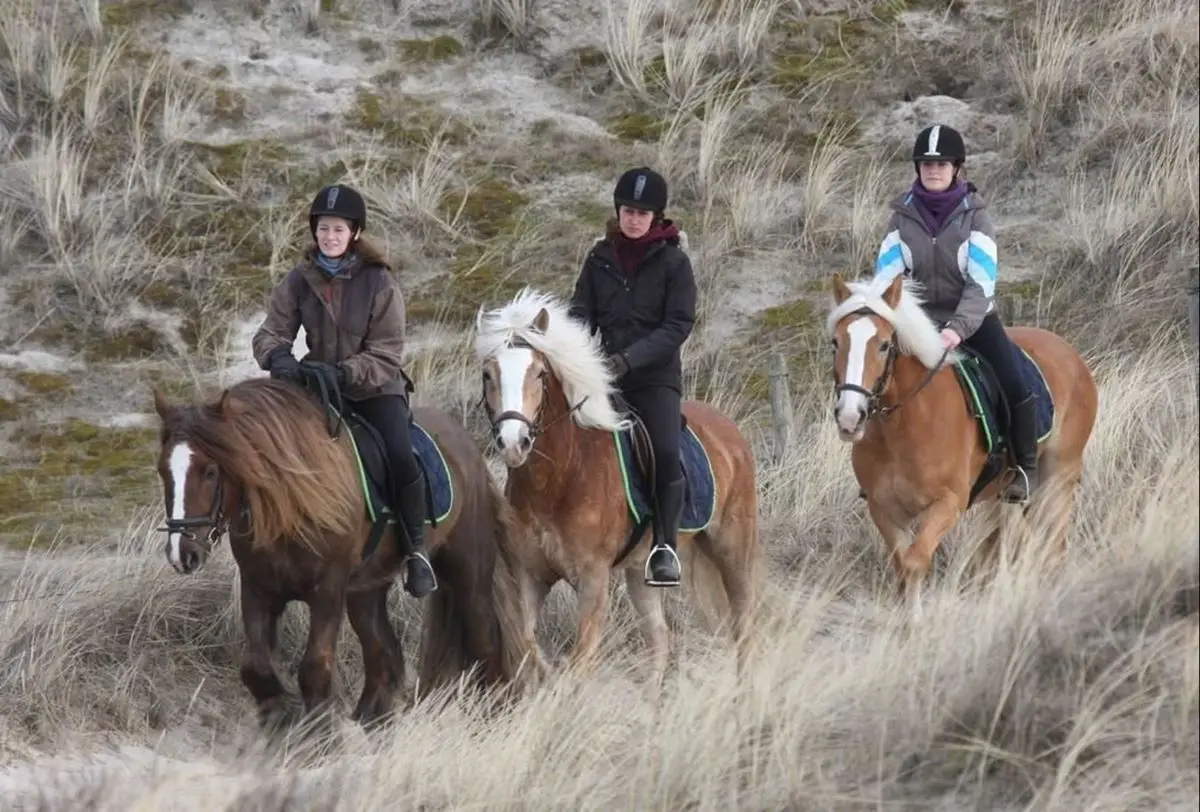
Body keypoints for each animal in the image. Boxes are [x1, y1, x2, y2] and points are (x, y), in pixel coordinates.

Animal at [150, 374, 528, 730]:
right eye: (162, 471)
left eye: (210, 471)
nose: (181, 553)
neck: (290, 505)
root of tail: (467, 446)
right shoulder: (258, 589)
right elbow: (255, 669)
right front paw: (279, 724)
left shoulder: (327, 590)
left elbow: (314, 670)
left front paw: (321, 737)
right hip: (366, 591)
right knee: (384, 656)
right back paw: (372, 723)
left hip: (468, 571)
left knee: (485, 641)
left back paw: (496, 714)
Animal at [472, 288, 762, 686]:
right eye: (488, 374)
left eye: (540, 373)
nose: (513, 443)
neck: (558, 479)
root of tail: (729, 429)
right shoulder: (530, 576)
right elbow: (530, 646)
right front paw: (548, 677)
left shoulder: (593, 580)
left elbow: (580, 661)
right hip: (641, 572)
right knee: (659, 639)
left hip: (732, 547)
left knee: (744, 622)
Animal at [826, 272, 1099, 618]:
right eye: (836, 342)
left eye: (885, 345)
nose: (850, 417)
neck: (904, 428)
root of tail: (1071, 355)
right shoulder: (883, 508)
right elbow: (902, 562)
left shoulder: (948, 504)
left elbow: (915, 560)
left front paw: (916, 621)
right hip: (1002, 491)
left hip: (1058, 479)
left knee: (1054, 544)